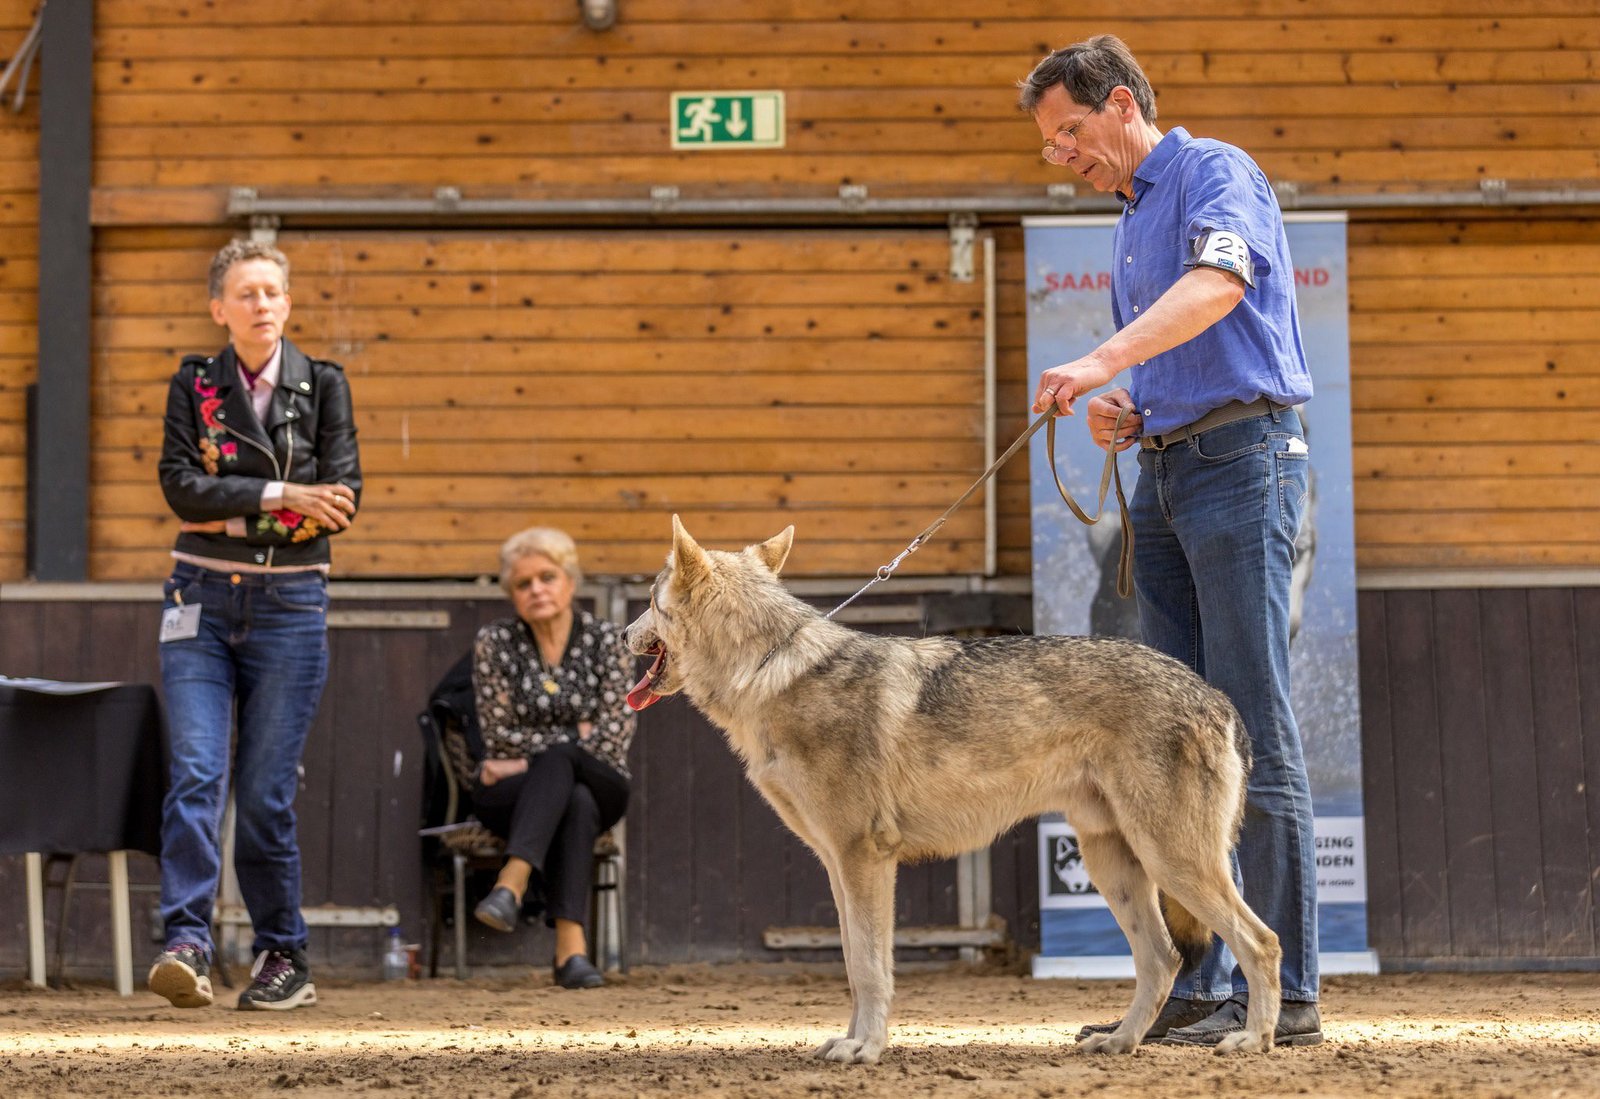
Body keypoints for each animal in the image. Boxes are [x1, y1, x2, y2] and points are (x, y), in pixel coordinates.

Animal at [624, 516, 1282, 1063]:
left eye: (650, 603)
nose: (622, 631)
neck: (768, 671)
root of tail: (1215, 696)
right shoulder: (837, 865)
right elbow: (854, 963)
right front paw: (851, 1041)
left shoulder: (866, 859)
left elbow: (871, 968)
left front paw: (866, 1051)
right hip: (1116, 866)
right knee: (1163, 959)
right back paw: (1120, 1041)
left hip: (1171, 863)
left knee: (1261, 942)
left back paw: (1253, 1040)